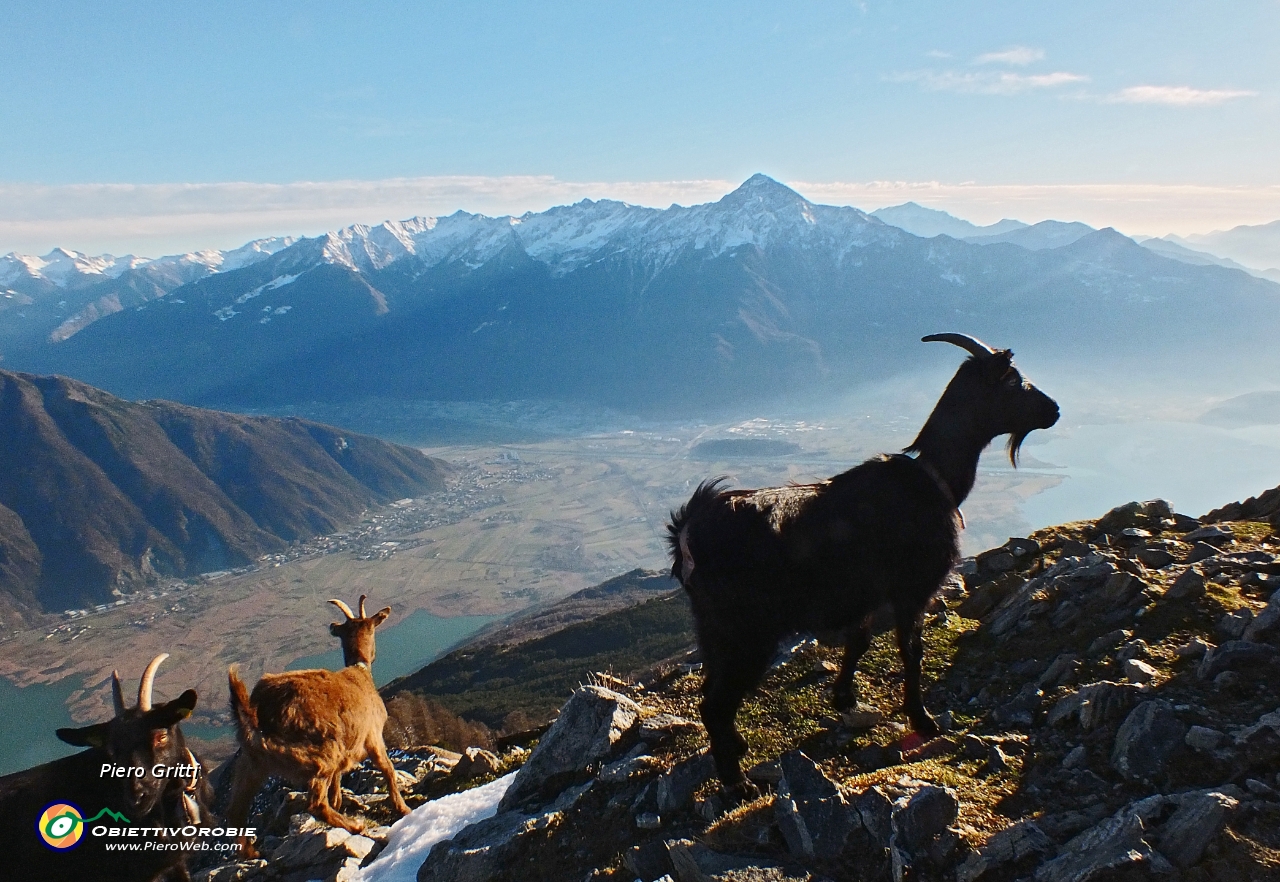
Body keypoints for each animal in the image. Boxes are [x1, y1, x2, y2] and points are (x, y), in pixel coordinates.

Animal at [225, 591, 409, 839]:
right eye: (372, 628)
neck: (359, 672)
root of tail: (257, 713)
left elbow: (337, 782)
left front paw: (338, 801)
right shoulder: (372, 736)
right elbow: (387, 768)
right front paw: (403, 808)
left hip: (250, 763)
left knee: (235, 813)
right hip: (321, 754)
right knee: (316, 804)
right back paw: (355, 826)